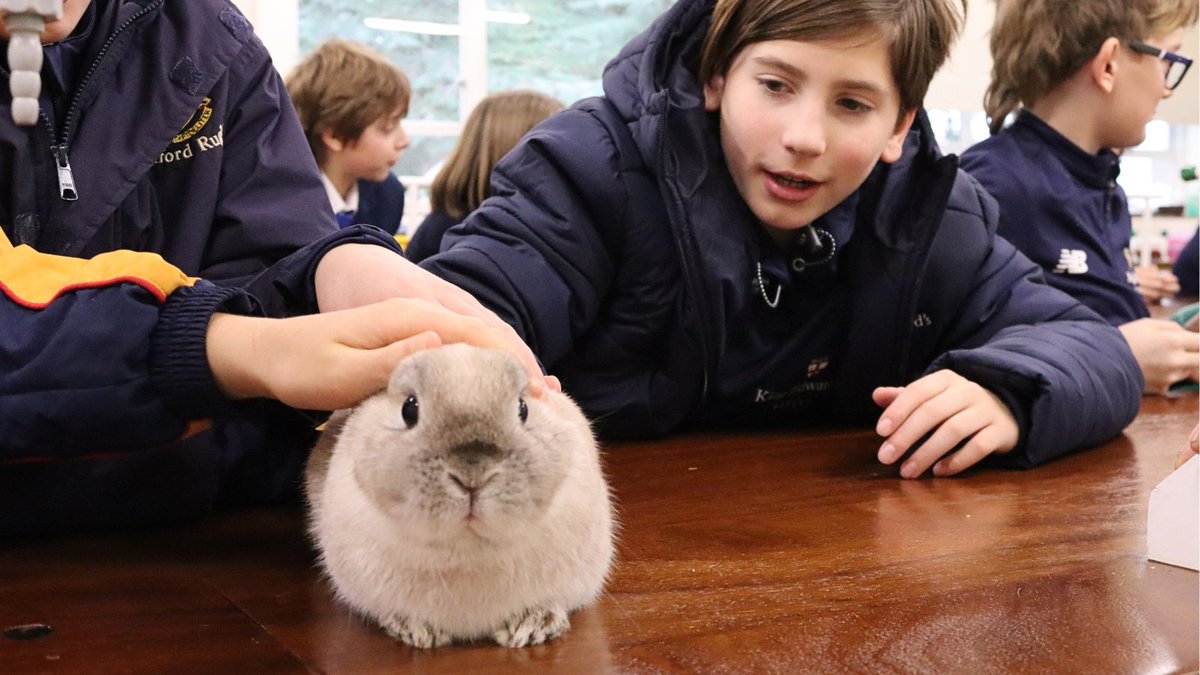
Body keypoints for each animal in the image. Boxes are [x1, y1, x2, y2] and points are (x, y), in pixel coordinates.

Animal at [305, 344, 615, 649]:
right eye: (409, 409)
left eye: (523, 408)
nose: (472, 476)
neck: (468, 546)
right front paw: (416, 630)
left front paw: (532, 626)